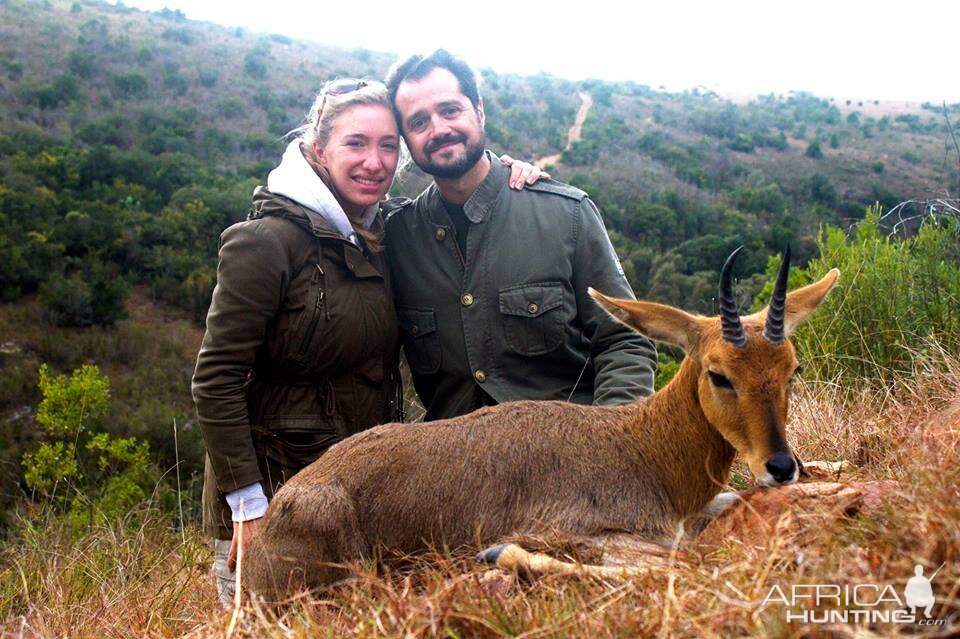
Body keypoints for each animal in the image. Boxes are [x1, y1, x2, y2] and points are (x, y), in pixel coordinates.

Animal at [246, 248, 840, 604]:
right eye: (719, 373)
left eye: (791, 369)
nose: (782, 465)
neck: (642, 448)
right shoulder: (589, 535)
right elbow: (676, 566)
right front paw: (501, 554)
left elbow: (735, 501)